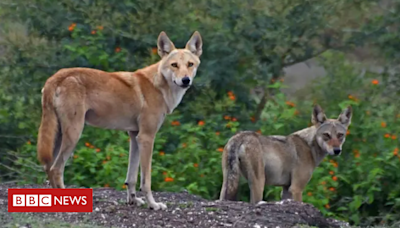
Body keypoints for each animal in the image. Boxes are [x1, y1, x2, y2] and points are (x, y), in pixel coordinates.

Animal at [36, 30, 203, 210]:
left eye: (190, 64)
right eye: (174, 65)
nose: (186, 80)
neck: (159, 86)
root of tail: (55, 77)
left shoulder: (135, 136)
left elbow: (131, 177)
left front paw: (133, 201)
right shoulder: (147, 137)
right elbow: (146, 181)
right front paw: (153, 204)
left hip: (59, 137)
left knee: (48, 168)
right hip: (74, 134)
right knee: (56, 169)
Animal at [219, 104, 354, 203]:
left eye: (340, 135)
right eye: (327, 135)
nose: (337, 150)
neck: (309, 147)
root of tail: (239, 136)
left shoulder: (286, 190)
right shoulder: (296, 189)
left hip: (227, 183)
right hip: (259, 184)